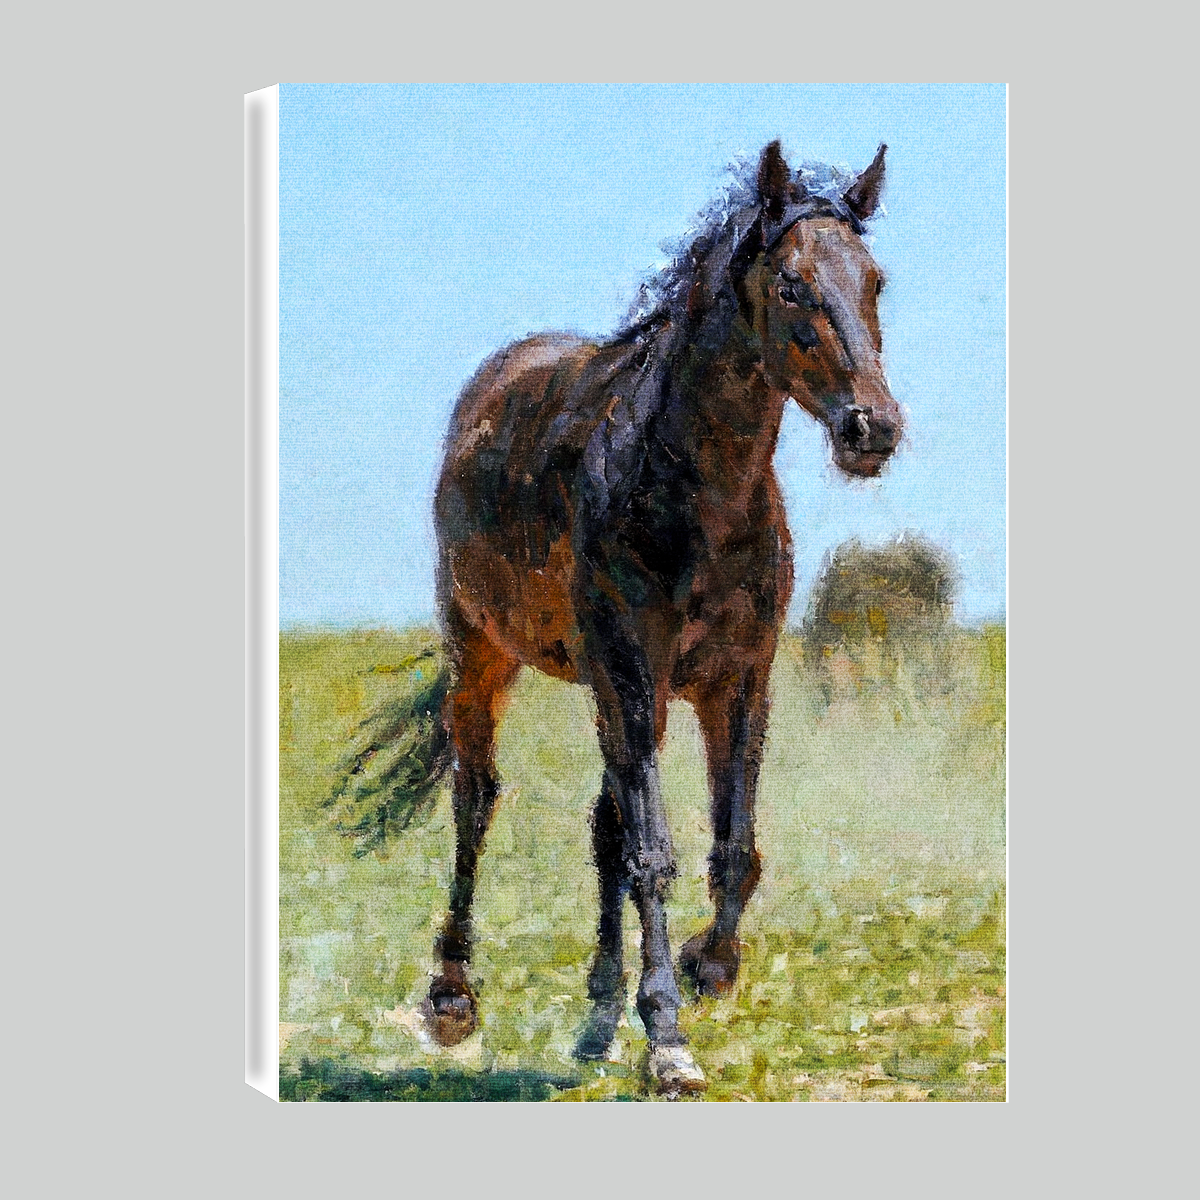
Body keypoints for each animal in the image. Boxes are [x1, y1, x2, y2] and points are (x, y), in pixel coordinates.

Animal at [352, 140, 902, 1094]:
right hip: (486, 652)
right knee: (476, 799)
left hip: (602, 687)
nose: (873, 428)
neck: (694, 491)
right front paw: (670, 1040)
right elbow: (653, 853)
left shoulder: (738, 681)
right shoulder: (635, 673)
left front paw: (703, 969)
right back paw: (454, 997)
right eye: (791, 285)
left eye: (874, 282)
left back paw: (598, 1022)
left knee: (601, 825)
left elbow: (732, 849)